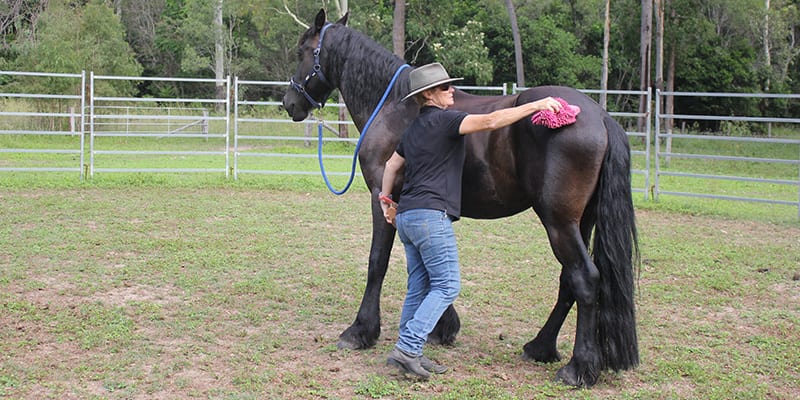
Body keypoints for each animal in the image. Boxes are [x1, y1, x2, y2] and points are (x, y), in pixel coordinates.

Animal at [282, 9, 639, 388]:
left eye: (302, 51)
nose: (289, 103)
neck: (397, 106)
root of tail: (600, 116)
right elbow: (428, 268)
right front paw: (443, 327)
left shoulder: (385, 198)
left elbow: (378, 261)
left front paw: (360, 330)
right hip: (580, 222)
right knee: (568, 281)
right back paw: (540, 347)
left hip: (559, 222)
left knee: (584, 279)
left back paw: (578, 368)